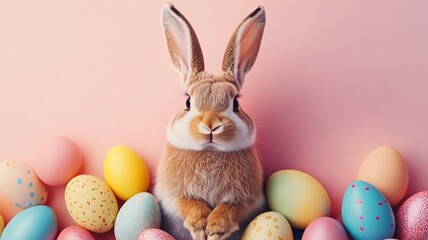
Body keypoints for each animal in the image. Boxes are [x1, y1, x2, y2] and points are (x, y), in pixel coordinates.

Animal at [155, 3, 266, 240]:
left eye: (236, 103)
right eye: (188, 101)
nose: (211, 125)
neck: (211, 151)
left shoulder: (247, 199)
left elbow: (231, 208)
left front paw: (215, 229)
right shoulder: (173, 194)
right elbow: (188, 203)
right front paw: (199, 227)